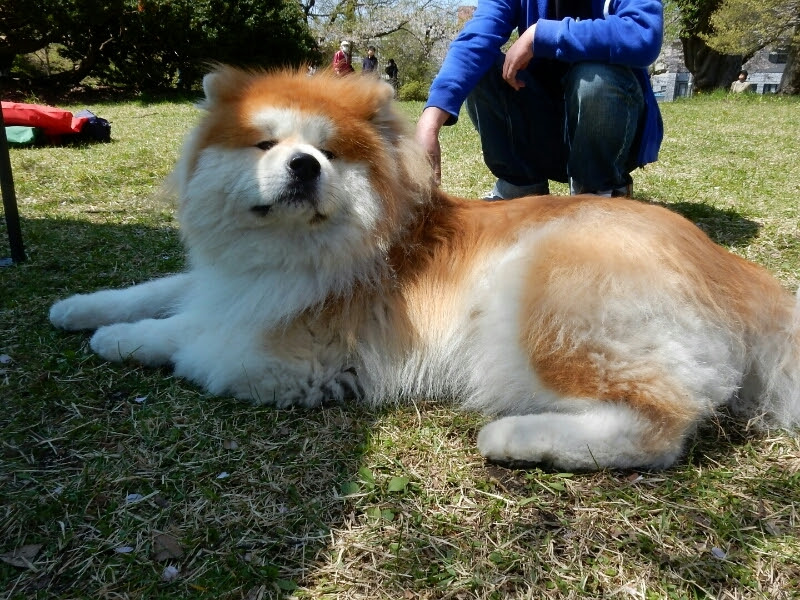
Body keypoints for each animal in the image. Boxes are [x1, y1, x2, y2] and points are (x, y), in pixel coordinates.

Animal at [51, 65, 800, 468]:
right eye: (265, 143)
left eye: (332, 153)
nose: (304, 165)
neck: (289, 252)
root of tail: (738, 274)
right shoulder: (226, 283)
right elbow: (160, 290)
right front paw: (80, 308)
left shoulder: (285, 352)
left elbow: (187, 337)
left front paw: (121, 339)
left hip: (542, 298)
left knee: (661, 427)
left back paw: (512, 437)